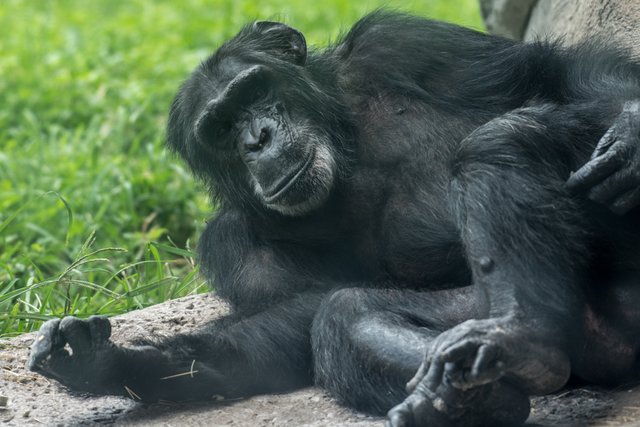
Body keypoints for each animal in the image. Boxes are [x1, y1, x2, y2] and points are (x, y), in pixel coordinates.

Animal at [28, 10, 640, 427]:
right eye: (220, 128)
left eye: (254, 90)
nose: (257, 137)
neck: (343, 152)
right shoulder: (234, 245)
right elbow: (290, 324)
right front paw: (104, 362)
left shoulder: (404, 46)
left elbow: (549, 73)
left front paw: (630, 131)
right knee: (346, 314)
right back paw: (477, 384)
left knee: (506, 136)